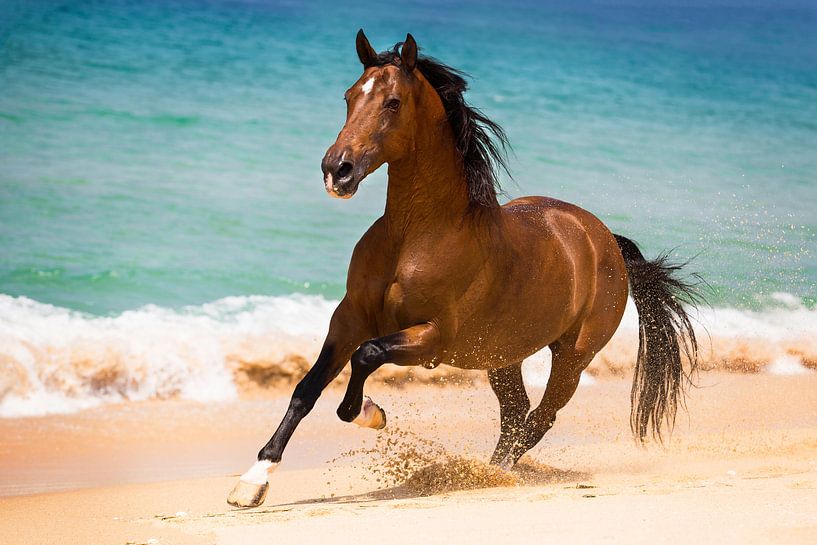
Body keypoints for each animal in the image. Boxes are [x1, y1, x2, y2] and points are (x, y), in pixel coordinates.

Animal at [227, 30, 699, 507]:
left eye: (392, 102)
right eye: (348, 96)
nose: (336, 170)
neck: (416, 235)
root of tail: (604, 239)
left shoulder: (432, 337)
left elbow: (367, 357)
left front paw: (372, 414)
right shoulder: (349, 318)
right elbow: (306, 389)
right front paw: (252, 482)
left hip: (573, 357)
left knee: (538, 418)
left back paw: (492, 474)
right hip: (502, 356)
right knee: (515, 414)